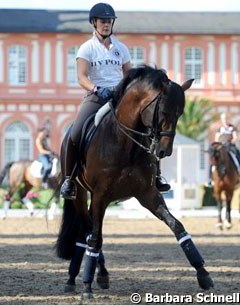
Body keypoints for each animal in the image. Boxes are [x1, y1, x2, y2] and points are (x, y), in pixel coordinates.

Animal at [56, 65, 214, 298]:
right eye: (163, 112)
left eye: (180, 113)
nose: (164, 151)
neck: (124, 143)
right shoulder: (100, 196)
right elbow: (95, 238)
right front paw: (87, 286)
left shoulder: (148, 194)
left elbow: (178, 227)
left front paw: (203, 274)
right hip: (81, 195)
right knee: (88, 232)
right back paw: (78, 277)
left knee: (88, 233)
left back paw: (94, 276)